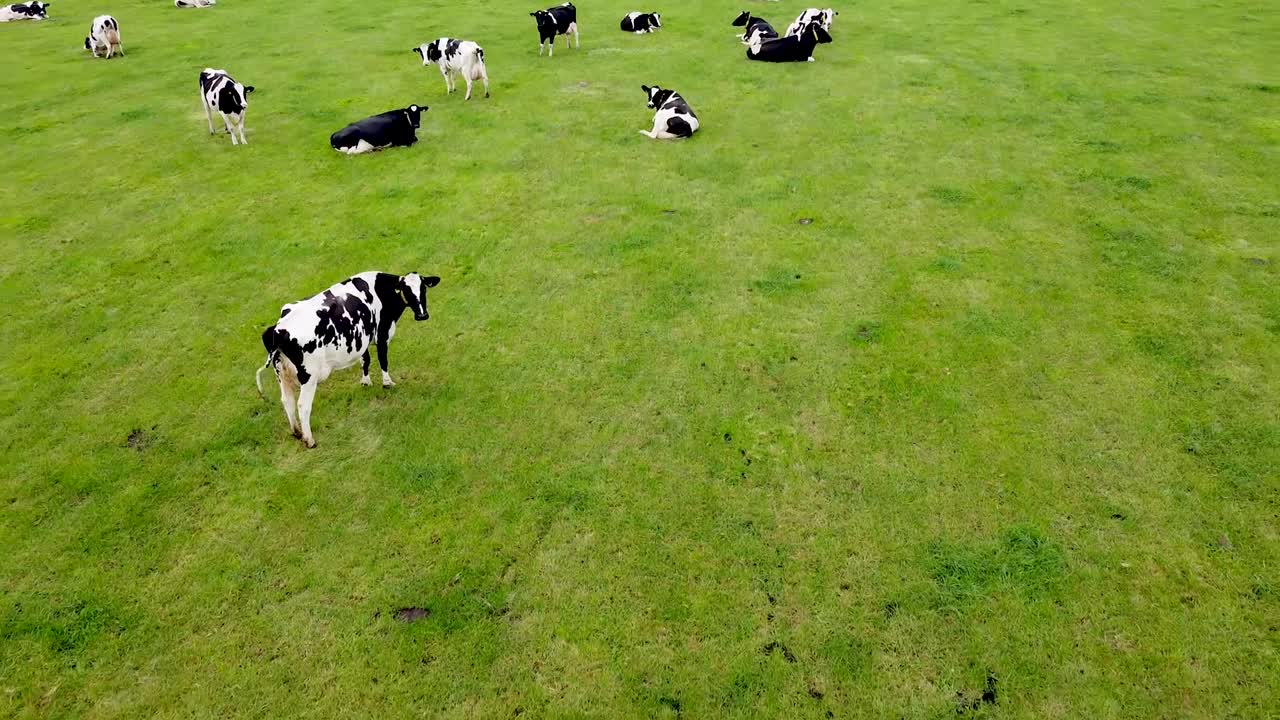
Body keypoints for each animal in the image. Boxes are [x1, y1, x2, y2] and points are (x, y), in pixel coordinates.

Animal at [256, 271, 441, 448]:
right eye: (406, 290)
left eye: (423, 289)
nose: (422, 315)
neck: (381, 289)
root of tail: (278, 329)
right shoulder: (382, 334)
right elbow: (383, 360)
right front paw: (388, 383)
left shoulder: (363, 338)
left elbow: (365, 360)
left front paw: (366, 382)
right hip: (309, 376)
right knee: (302, 405)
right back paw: (309, 440)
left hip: (281, 374)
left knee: (287, 401)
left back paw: (296, 432)